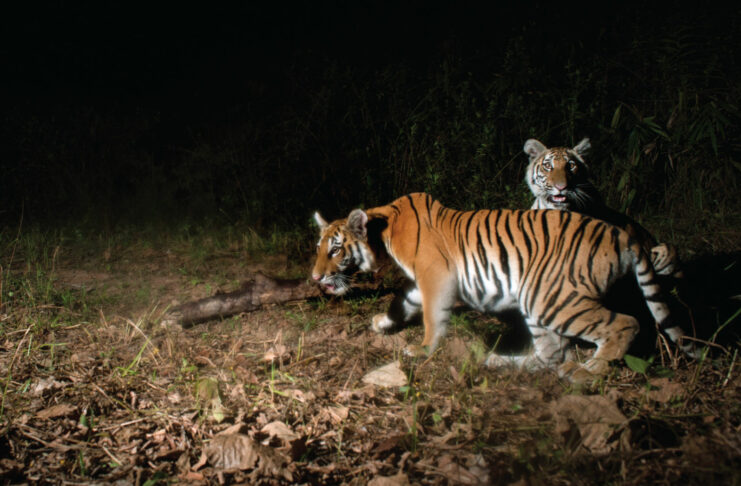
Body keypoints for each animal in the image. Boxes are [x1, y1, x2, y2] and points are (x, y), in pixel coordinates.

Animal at [312, 192, 697, 383]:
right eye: (319, 247)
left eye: (335, 250)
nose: (314, 278)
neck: (384, 230)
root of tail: (624, 234)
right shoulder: (421, 282)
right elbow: (402, 302)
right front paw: (383, 323)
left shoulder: (436, 275)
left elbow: (433, 317)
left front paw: (422, 350)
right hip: (538, 301)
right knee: (550, 353)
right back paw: (496, 361)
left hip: (552, 298)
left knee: (624, 324)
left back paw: (588, 372)